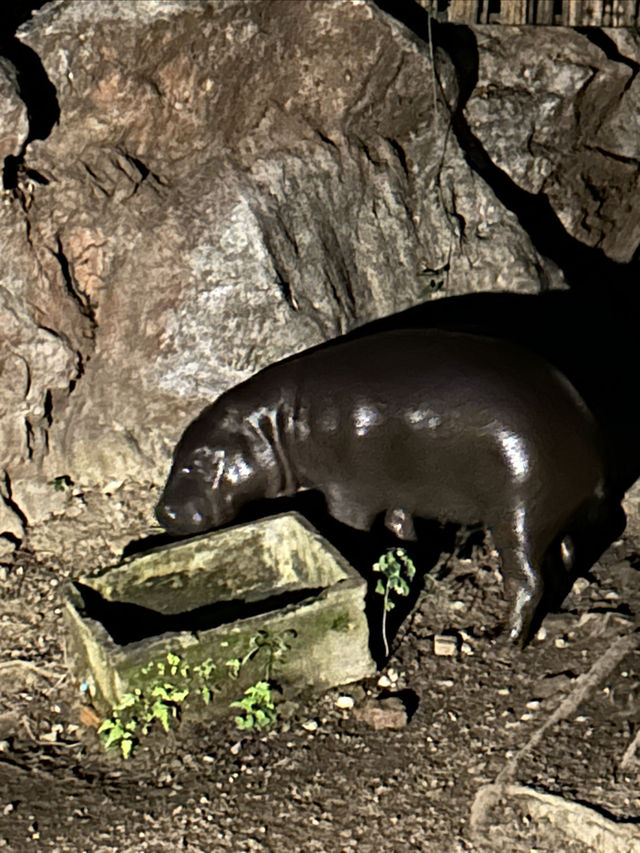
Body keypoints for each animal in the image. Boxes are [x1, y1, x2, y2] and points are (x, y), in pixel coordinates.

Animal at [156, 330, 624, 644]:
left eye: (197, 462)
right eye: (173, 454)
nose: (163, 511)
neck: (279, 423)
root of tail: (592, 448)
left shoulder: (348, 493)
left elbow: (351, 525)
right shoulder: (397, 491)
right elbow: (401, 528)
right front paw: (407, 558)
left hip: (519, 515)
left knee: (527, 579)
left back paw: (499, 638)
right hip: (555, 515)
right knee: (566, 556)